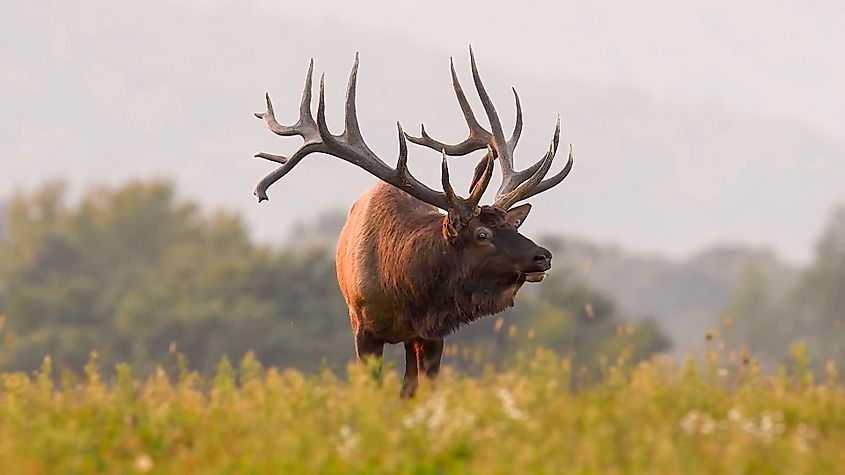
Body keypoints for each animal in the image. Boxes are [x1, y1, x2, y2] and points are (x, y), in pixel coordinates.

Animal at [252, 48, 573, 397]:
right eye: (482, 234)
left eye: (514, 226)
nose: (543, 255)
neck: (404, 291)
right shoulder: (363, 326)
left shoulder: (432, 334)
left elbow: (420, 390)